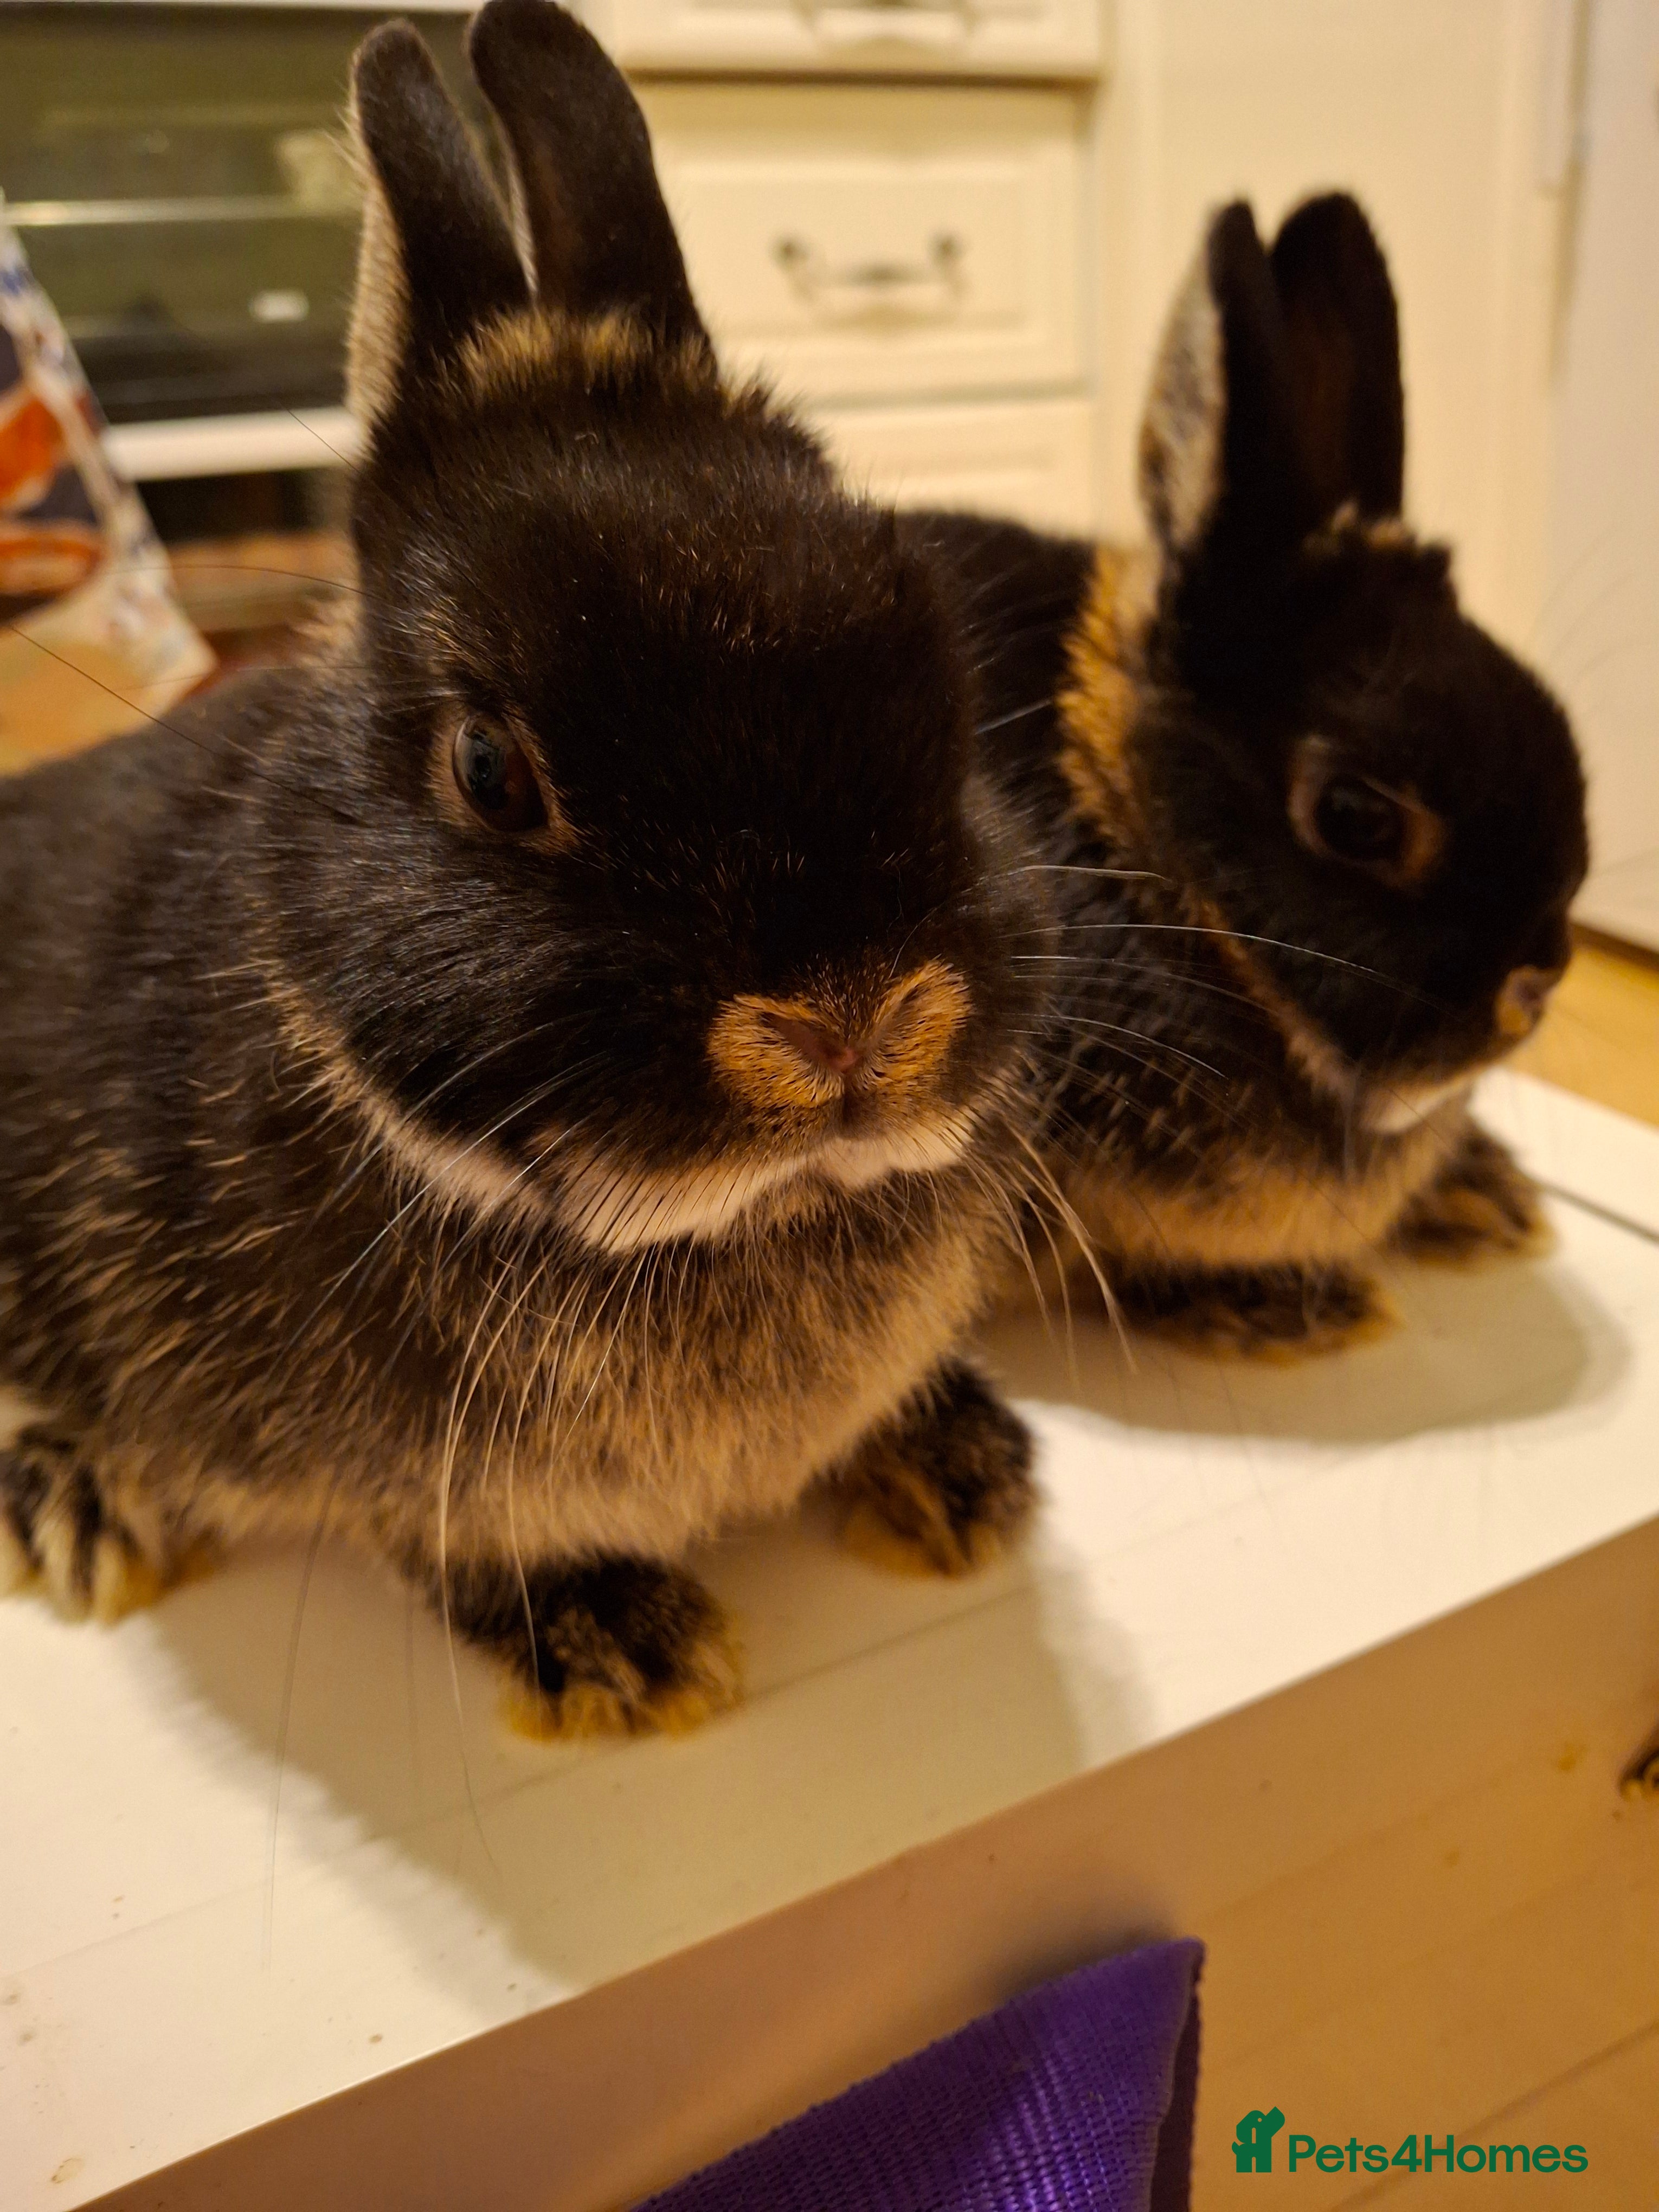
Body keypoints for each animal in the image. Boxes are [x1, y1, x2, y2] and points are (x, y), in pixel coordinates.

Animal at [0, 0, 1054, 1734]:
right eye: (492, 770)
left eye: (944, 678)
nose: (850, 1024)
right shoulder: (410, 1485)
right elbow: (462, 1547)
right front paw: (626, 1653)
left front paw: (959, 1475)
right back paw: (78, 1513)